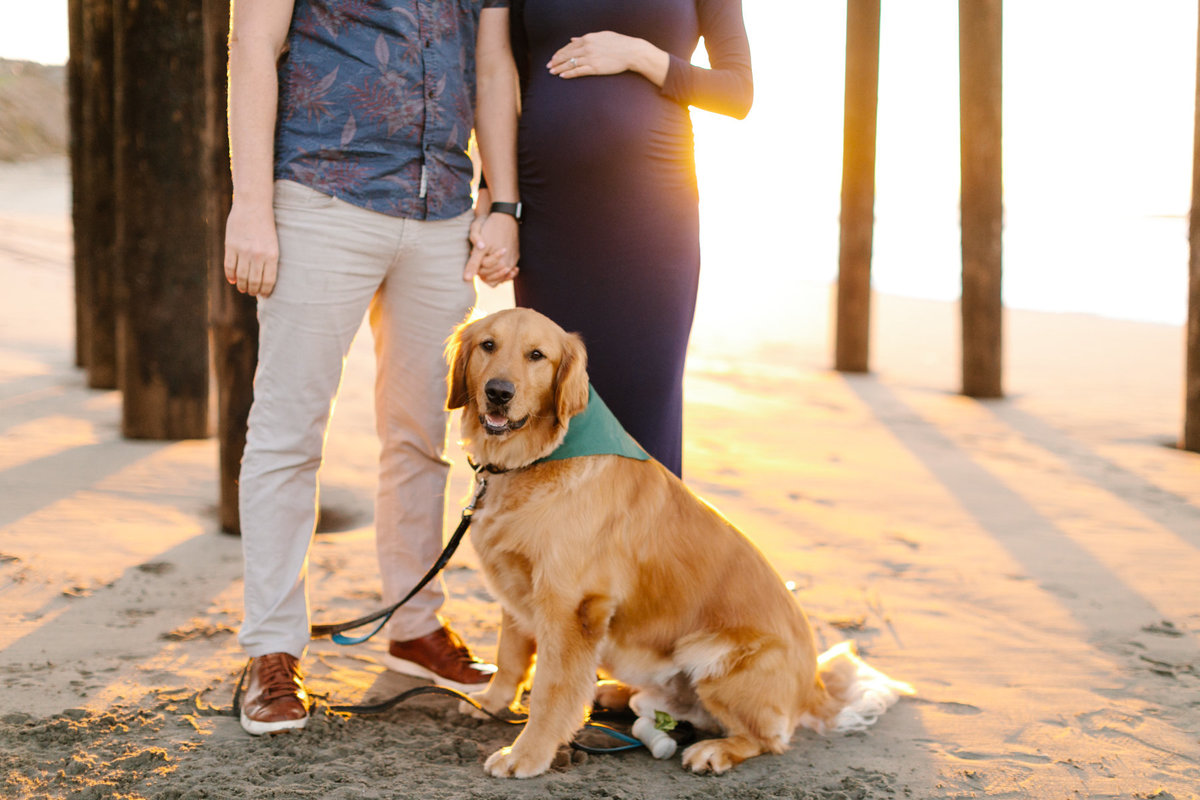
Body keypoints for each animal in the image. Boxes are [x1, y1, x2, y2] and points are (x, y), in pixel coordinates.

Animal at [448, 307, 907, 777]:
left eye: (537, 355)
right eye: (488, 345)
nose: (498, 392)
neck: (533, 459)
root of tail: (813, 685)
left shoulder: (571, 607)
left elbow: (550, 690)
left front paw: (527, 755)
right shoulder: (517, 587)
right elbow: (510, 657)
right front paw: (491, 702)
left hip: (712, 655)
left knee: (768, 739)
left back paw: (714, 751)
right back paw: (611, 692)